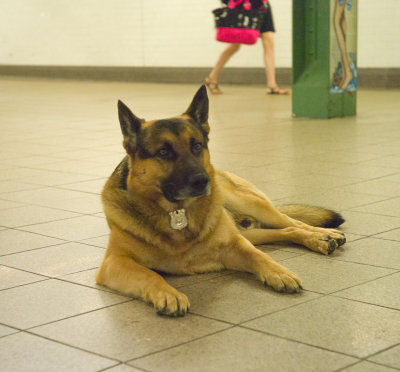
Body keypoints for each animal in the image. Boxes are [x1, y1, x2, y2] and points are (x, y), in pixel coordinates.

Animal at [95, 86, 346, 316]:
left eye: (197, 146)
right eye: (163, 152)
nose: (202, 181)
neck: (177, 214)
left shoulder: (235, 246)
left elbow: (258, 255)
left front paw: (278, 272)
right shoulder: (114, 262)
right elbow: (150, 273)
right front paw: (168, 293)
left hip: (250, 206)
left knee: (292, 222)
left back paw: (323, 235)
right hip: (248, 231)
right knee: (286, 231)